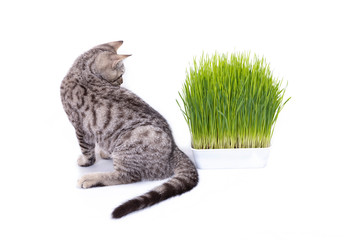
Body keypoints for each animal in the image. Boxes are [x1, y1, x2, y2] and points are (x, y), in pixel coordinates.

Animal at [60, 41, 198, 219]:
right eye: (120, 74)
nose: (122, 81)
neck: (82, 72)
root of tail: (174, 149)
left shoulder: (80, 126)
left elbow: (86, 149)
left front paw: (85, 161)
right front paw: (104, 153)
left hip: (127, 148)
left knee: (126, 176)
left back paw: (90, 179)